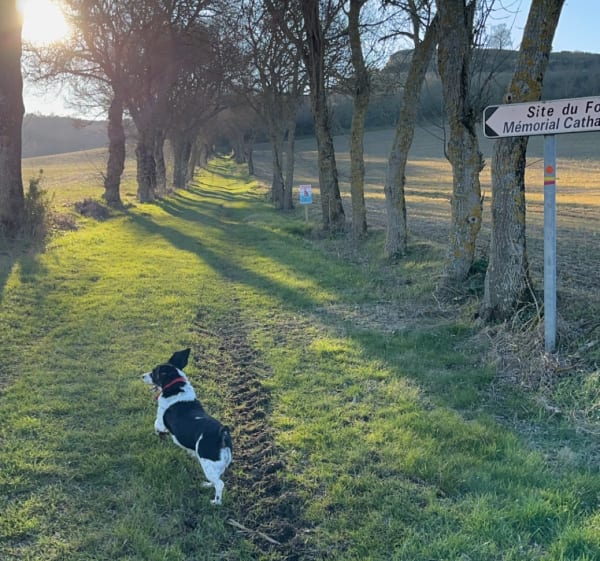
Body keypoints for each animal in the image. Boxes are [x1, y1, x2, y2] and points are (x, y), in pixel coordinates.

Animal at [142, 348, 233, 505]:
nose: (142, 376)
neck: (176, 387)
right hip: (214, 466)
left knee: (220, 484)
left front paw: (161, 436)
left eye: (153, 373)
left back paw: (215, 502)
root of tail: (222, 434)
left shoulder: (160, 421)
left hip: (207, 463)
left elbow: (156, 426)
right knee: (216, 479)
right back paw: (207, 484)